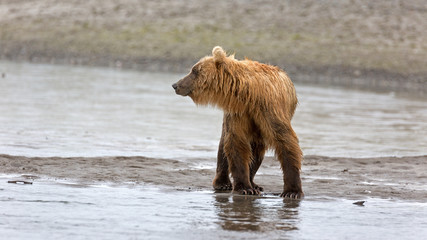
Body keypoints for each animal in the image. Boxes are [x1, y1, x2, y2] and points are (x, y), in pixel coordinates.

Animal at [172, 46, 302, 199]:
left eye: (195, 70)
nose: (175, 85)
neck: (249, 94)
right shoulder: (238, 112)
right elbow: (236, 143)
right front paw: (244, 188)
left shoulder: (269, 109)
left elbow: (285, 141)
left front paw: (292, 192)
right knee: (224, 147)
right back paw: (223, 183)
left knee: (256, 150)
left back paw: (254, 183)